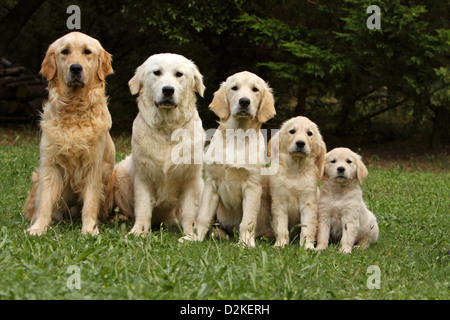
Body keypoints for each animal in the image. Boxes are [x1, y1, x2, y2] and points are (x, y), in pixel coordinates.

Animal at [23, 31, 115, 235]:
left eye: (87, 51)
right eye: (65, 51)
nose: (75, 68)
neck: (74, 109)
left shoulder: (94, 166)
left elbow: (90, 203)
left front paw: (89, 230)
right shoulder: (50, 165)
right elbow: (45, 202)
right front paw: (38, 227)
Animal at [115, 53, 207, 236]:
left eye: (179, 74)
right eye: (157, 72)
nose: (168, 90)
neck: (167, 130)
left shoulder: (191, 179)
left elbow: (189, 211)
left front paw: (189, 234)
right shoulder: (143, 176)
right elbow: (143, 206)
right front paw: (139, 231)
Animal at [181, 71, 276, 248]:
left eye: (255, 89)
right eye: (234, 88)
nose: (244, 101)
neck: (237, 136)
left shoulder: (252, 186)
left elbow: (248, 221)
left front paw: (245, 244)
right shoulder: (212, 183)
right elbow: (203, 215)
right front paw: (195, 238)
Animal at [268, 117, 326, 250]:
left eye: (309, 133)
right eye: (292, 131)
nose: (300, 143)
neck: (295, 170)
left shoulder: (308, 203)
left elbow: (307, 228)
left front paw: (307, 246)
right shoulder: (279, 203)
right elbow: (281, 227)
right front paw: (280, 244)